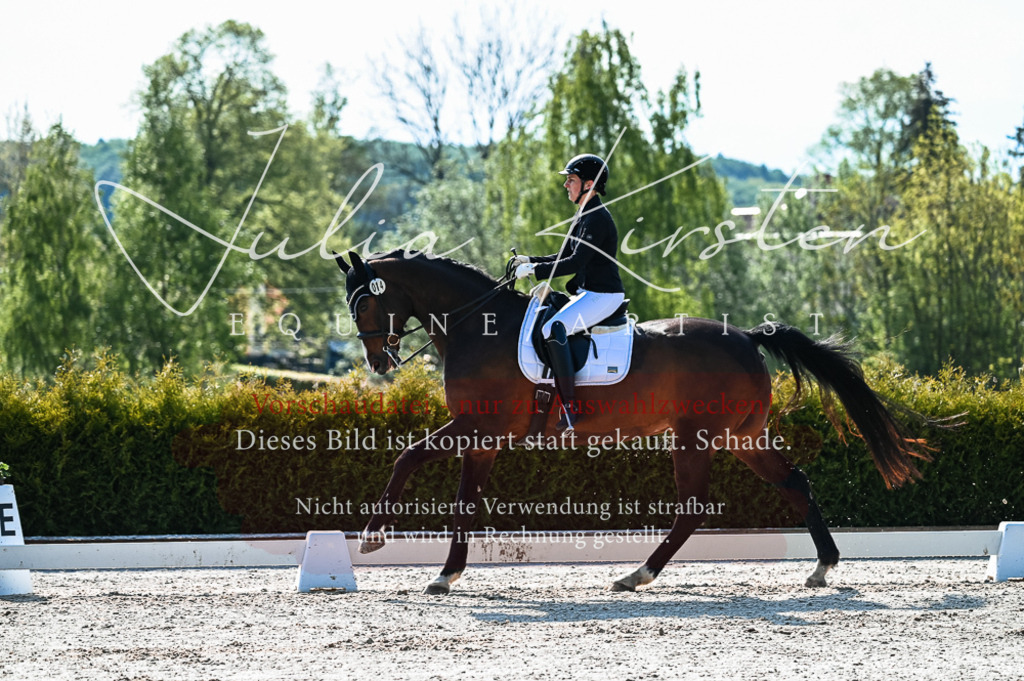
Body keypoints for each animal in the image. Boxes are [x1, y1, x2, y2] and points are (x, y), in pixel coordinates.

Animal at [334, 248, 934, 595]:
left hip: (696, 438)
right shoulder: (482, 440)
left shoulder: (478, 429)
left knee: (694, 507)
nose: (378, 362)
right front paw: (446, 573)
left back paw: (636, 575)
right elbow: (462, 501)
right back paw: (823, 566)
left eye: (363, 304)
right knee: (794, 482)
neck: (479, 327)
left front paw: (373, 538)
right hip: (741, 436)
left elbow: (407, 456)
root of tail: (745, 336)